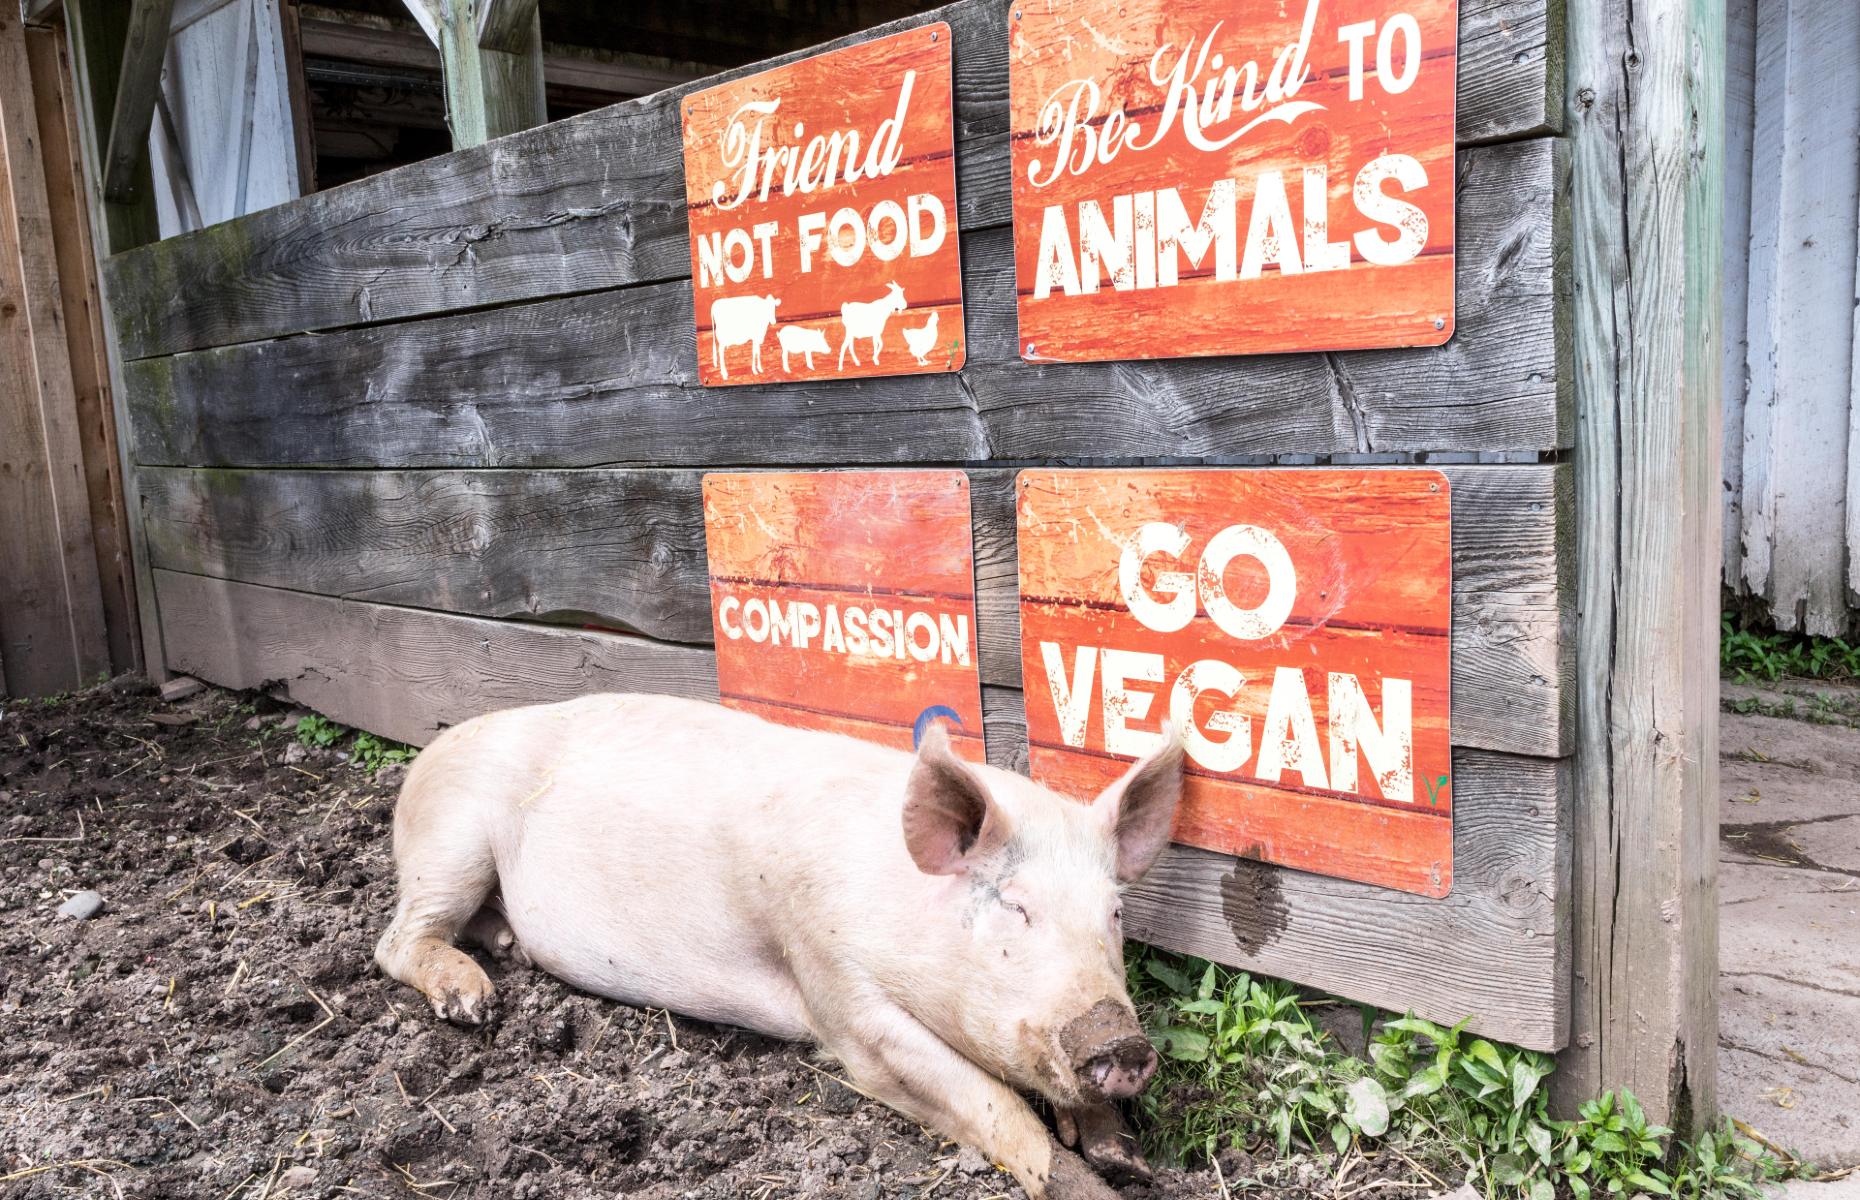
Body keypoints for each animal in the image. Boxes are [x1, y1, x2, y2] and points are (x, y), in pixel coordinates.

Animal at [375, 692, 1182, 1190]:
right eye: (1015, 908)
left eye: (1113, 912)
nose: (1121, 1041)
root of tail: (432, 750)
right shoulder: (837, 991)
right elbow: (996, 1108)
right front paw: (1101, 1184)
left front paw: (1128, 1162)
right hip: (450, 841)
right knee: (397, 939)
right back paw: (476, 1004)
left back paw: (508, 949)